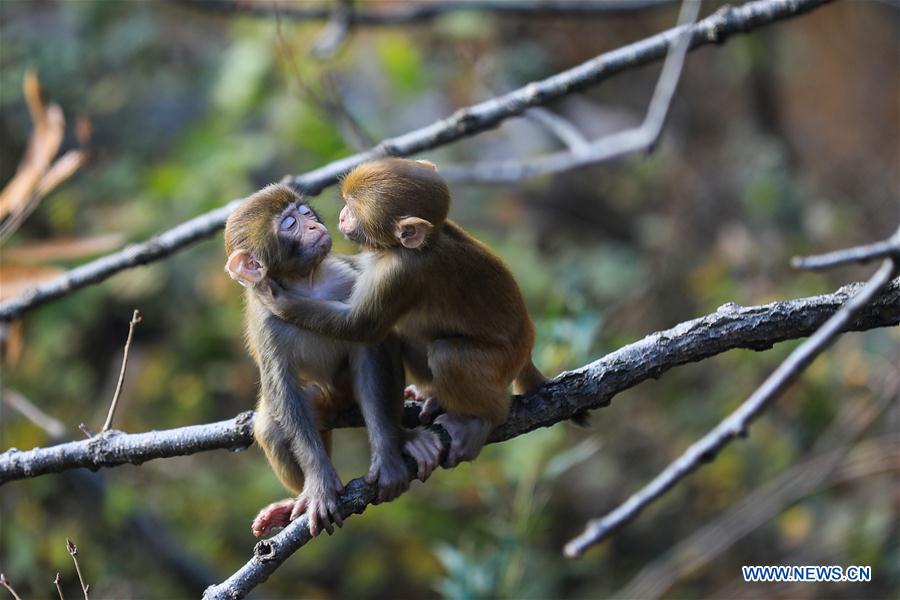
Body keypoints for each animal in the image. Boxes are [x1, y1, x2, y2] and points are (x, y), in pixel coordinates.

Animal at [221, 183, 440, 540]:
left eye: (305, 212)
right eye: (289, 224)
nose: (313, 225)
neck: (307, 281)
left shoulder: (349, 279)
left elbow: (369, 348)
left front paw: (387, 456)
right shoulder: (266, 318)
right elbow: (283, 389)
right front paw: (319, 484)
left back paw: (404, 438)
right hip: (325, 400)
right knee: (272, 425)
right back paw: (289, 506)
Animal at [256, 159, 544, 468]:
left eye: (353, 210)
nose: (342, 217)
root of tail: (527, 345)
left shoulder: (401, 273)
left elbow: (361, 327)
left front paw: (278, 300)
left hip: (503, 362)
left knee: (448, 355)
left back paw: (481, 420)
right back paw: (432, 394)